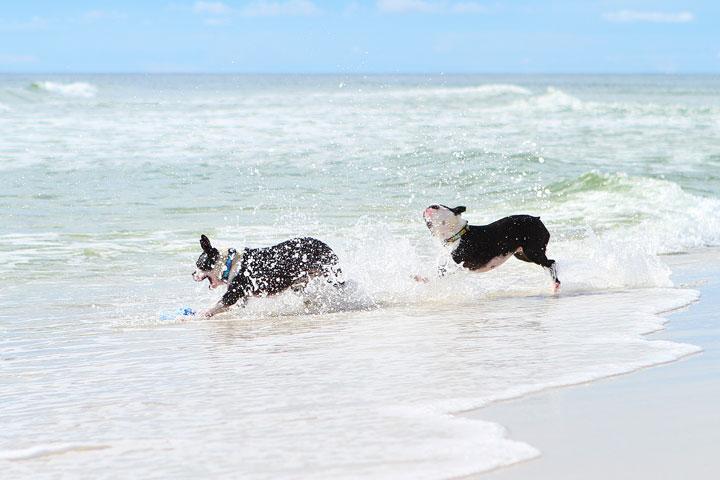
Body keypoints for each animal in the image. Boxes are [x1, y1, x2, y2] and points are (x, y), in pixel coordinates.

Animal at [193, 234, 344, 316]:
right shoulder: (241, 297)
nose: (192, 273)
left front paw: (200, 314)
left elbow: (217, 304)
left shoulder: (232, 294)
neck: (228, 263)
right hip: (299, 283)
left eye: (199, 264)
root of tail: (325, 246)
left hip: (331, 274)